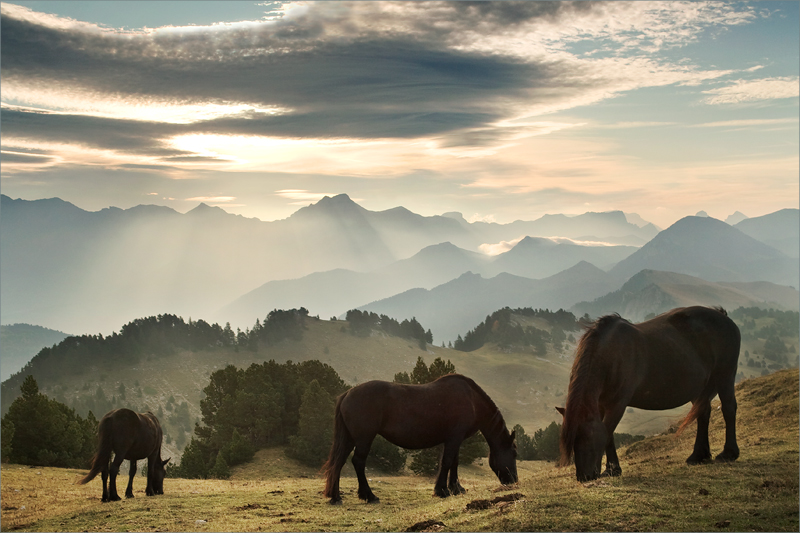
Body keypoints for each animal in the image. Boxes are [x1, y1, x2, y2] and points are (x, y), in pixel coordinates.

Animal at [324, 372, 520, 500]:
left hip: (350, 438)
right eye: (514, 454)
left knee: (339, 462)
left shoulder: (456, 440)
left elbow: (454, 463)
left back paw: (335, 496)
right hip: (364, 438)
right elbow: (447, 462)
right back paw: (368, 495)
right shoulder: (454, 439)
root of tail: (348, 393)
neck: (471, 399)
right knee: (358, 462)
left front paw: (456, 488)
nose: (513, 481)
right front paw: (442, 490)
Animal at [560, 304, 740, 482]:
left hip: (725, 376)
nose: (584, 477)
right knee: (703, 412)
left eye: (588, 436)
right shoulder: (601, 404)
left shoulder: (617, 404)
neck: (611, 355)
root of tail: (723, 316)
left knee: (728, 408)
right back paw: (698, 456)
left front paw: (613, 469)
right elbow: (608, 435)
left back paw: (729, 453)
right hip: (700, 388)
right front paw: (612, 470)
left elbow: (607, 431)